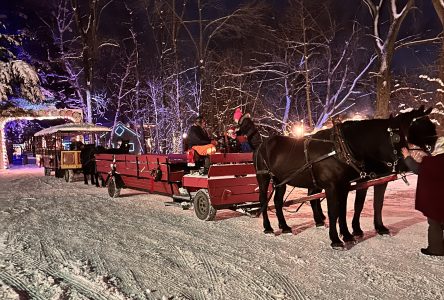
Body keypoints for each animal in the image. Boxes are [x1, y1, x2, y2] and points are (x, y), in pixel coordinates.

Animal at [255, 106, 436, 247]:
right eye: (416, 126)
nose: (433, 144)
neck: (342, 148)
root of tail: (263, 144)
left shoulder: (346, 185)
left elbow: (346, 209)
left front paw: (349, 234)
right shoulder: (333, 186)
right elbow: (335, 211)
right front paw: (336, 239)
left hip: (280, 181)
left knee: (278, 202)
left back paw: (285, 226)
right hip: (264, 178)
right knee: (264, 201)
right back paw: (268, 227)